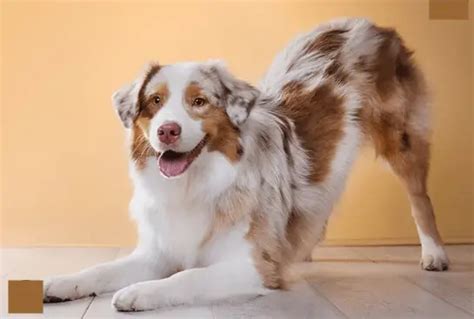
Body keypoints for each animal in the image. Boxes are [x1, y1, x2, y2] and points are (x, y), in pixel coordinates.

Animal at [42, 18, 446, 312]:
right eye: (155, 101)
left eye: (199, 102)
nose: (167, 130)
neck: (193, 184)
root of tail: (373, 24)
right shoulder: (158, 250)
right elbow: (101, 269)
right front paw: (61, 282)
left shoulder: (253, 266)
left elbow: (187, 277)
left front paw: (140, 292)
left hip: (402, 138)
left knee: (421, 200)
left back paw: (435, 255)